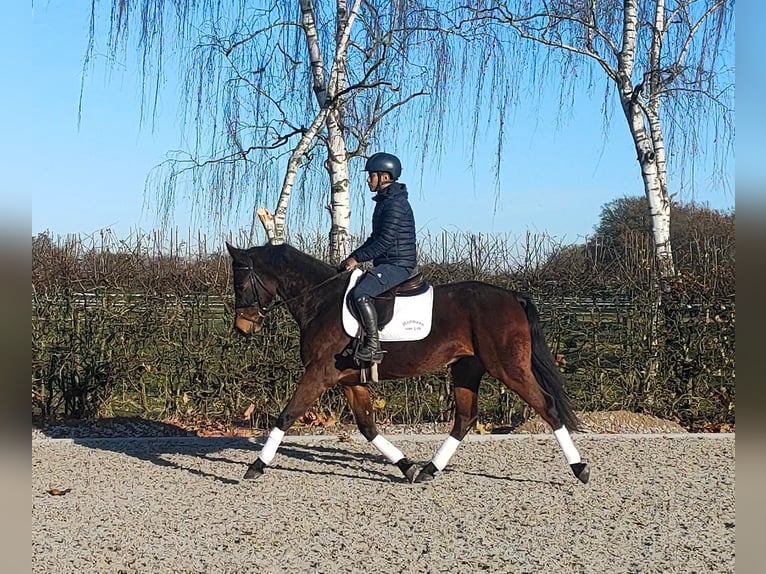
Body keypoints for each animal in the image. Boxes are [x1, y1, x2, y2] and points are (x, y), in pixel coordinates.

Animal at [225, 243, 592, 486]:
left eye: (240, 282)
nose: (242, 327)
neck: (321, 300)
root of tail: (512, 296)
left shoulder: (319, 374)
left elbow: (286, 416)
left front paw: (256, 466)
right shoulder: (350, 381)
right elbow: (367, 427)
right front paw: (406, 466)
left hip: (508, 368)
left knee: (547, 407)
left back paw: (580, 469)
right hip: (466, 368)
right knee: (464, 419)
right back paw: (430, 470)